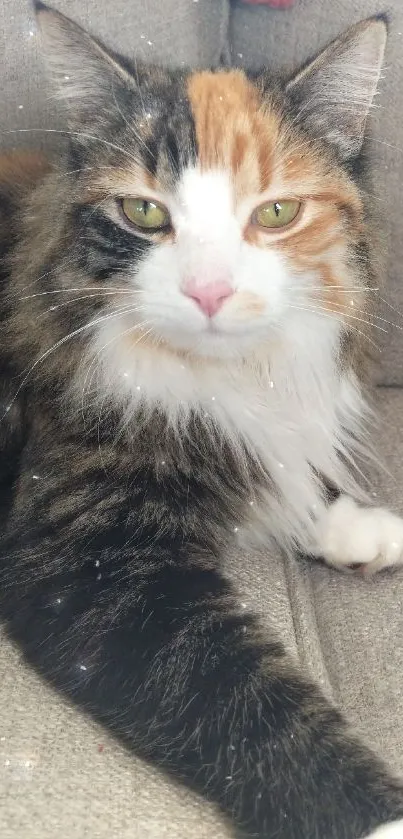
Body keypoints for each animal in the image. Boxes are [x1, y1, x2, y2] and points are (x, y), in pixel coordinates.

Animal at [0, 3, 403, 836]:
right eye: (142, 211)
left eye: (276, 212)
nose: (209, 291)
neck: (222, 378)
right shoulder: (95, 563)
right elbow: (246, 702)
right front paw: (378, 817)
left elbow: (281, 467)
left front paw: (346, 522)